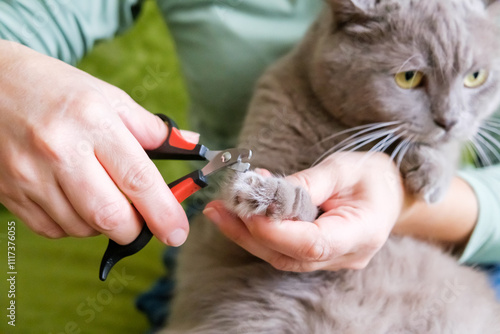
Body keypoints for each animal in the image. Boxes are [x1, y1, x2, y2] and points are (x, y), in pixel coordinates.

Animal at [160, 1, 500, 332]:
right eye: (409, 78)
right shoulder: (228, 239)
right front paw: (272, 196)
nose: (449, 120)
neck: (343, 131)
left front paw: (430, 171)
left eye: (476, 77)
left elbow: (445, 147)